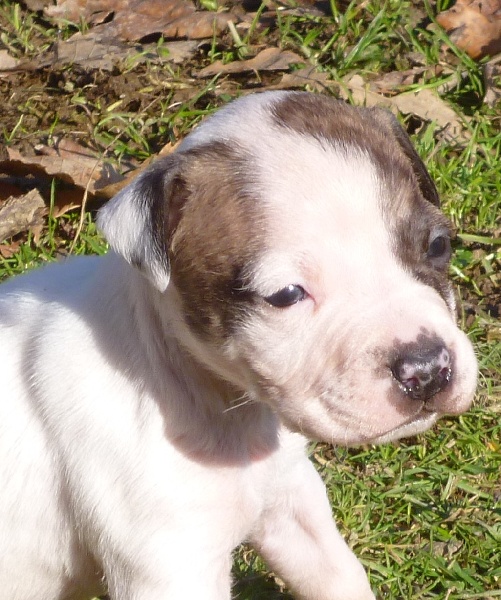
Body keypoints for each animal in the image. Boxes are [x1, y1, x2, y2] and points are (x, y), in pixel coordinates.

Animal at [0, 90, 476, 600]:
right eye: (285, 295)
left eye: (438, 246)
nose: (426, 369)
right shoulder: (170, 564)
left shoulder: (290, 499)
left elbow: (339, 575)